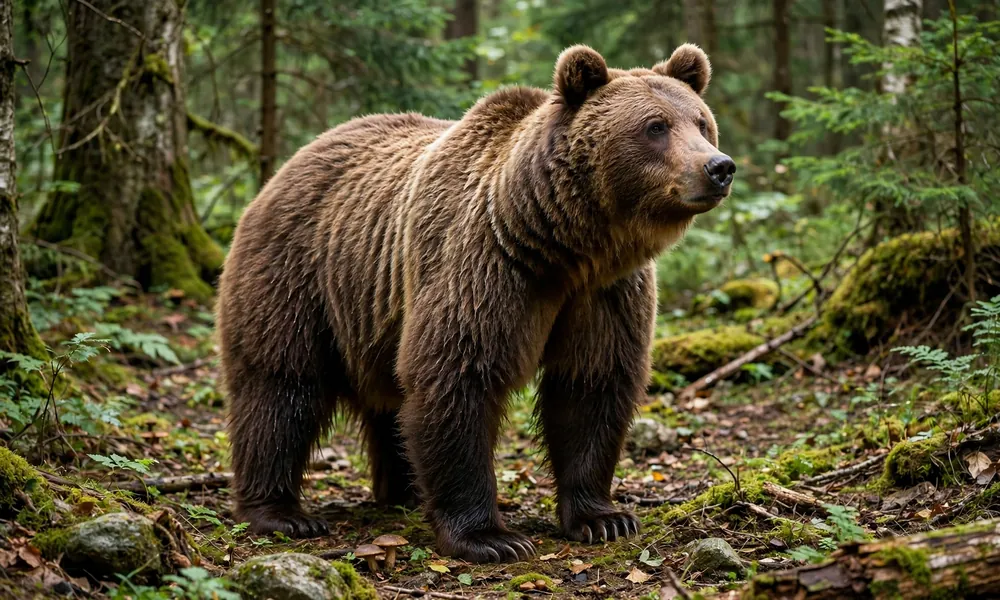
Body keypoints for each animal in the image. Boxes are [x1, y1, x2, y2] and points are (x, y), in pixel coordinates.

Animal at [217, 43, 734, 563]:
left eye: (701, 122)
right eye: (655, 126)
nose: (719, 167)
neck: (562, 245)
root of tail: (287, 166)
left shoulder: (604, 293)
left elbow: (592, 384)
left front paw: (603, 518)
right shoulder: (484, 265)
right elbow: (457, 374)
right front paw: (490, 537)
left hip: (371, 315)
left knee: (387, 405)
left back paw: (403, 491)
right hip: (298, 276)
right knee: (280, 388)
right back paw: (282, 512)